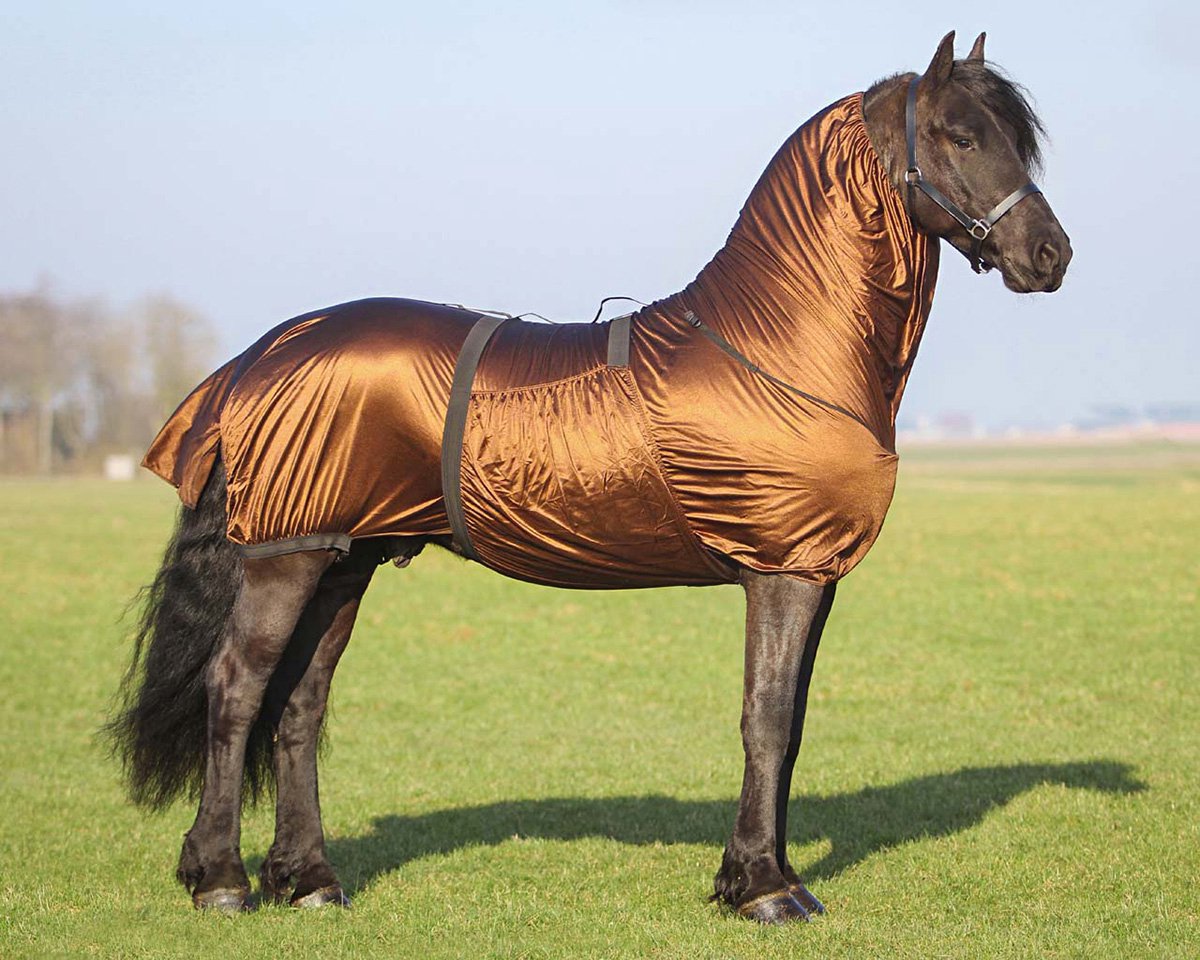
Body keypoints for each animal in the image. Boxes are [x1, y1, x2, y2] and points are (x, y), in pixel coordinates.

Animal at [106, 31, 1071, 924]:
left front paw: (767, 875)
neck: (779, 347)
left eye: (1015, 139)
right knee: (237, 690)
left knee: (300, 704)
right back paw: (221, 880)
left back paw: (309, 880)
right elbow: (765, 718)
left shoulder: (815, 572)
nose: (1051, 255)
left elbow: (791, 725)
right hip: (287, 557)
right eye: (958, 134)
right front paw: (762, 888)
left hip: (345, 559)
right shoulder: (783, 570)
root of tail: (262, 354)